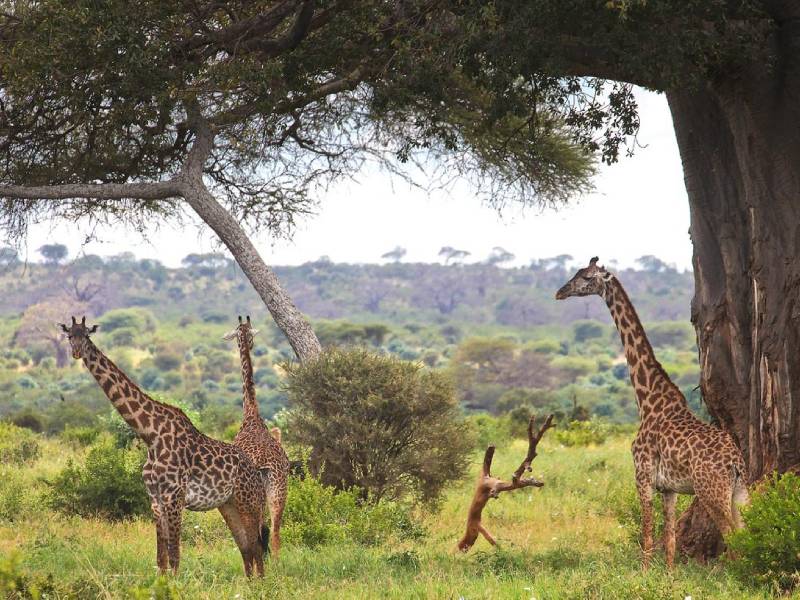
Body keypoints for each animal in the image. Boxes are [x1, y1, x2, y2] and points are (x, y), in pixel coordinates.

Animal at [59, 316, 269, 576]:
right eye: (70, 336)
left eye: (86, 335)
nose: (77, 352)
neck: (151, 435)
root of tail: (257, 473)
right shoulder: (155, 498)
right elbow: (161, 557)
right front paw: (162, 582)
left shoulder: (174, 496)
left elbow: (175, 554)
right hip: (229, 505)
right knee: (246, 546)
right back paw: (248, 582)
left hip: (249, 503)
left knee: (256, 546)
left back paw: (261, 583)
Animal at [223, 315, 290, 559]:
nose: (250, 345)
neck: (251, 413)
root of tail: (265, 465)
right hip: (279, 488)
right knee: (276, 529)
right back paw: (277, 561)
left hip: (255, 494)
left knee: (261, 528)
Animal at [555, 258, 748, 568]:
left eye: (585, 277)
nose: (559, 292)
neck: (647, 400)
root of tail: (735, 463)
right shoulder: (669, 489)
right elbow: (669, 540)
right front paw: (668, 575)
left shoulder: (642, 476)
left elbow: (646, 537)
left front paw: (644, 573)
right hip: (740, 493)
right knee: (743, 532)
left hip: (711, 492)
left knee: (732, 537)